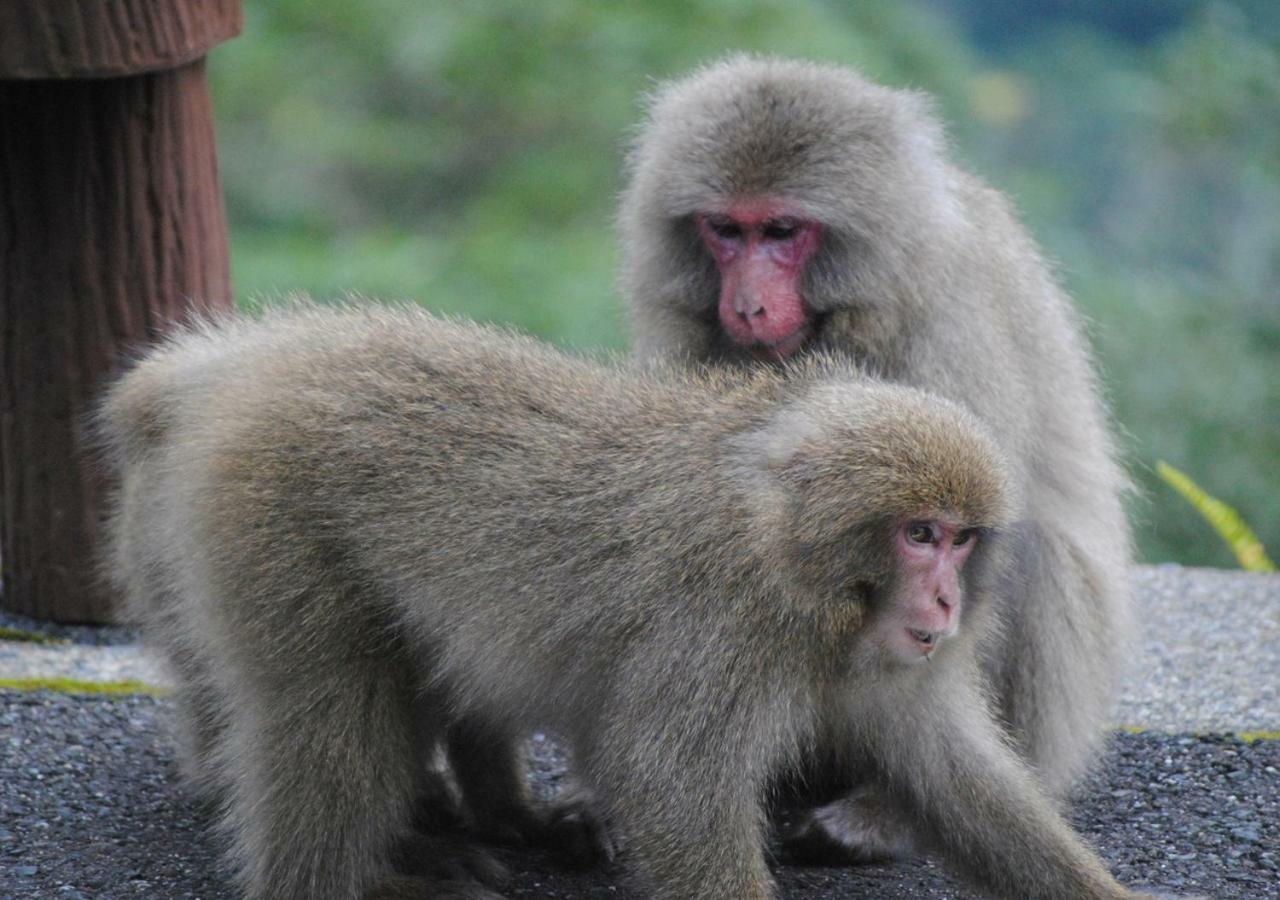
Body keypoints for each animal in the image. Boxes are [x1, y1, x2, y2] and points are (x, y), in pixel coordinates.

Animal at [92, 304, 1152, 900]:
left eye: (962, 537)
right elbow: (672, 781)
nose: (944, 595)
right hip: (267, 513)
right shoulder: (726, 626)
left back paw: (504, 816)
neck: (798, 570)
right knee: (326, 706)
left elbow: (954, 773)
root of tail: (254, 364)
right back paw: (335, 883)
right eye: (917, 533)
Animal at [619, 56, 1131, 865]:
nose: (748, 305)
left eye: (783, 231)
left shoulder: (947, 328)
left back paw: (883, 808)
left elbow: (973, 526)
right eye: (726, 230)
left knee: (1030, 557)